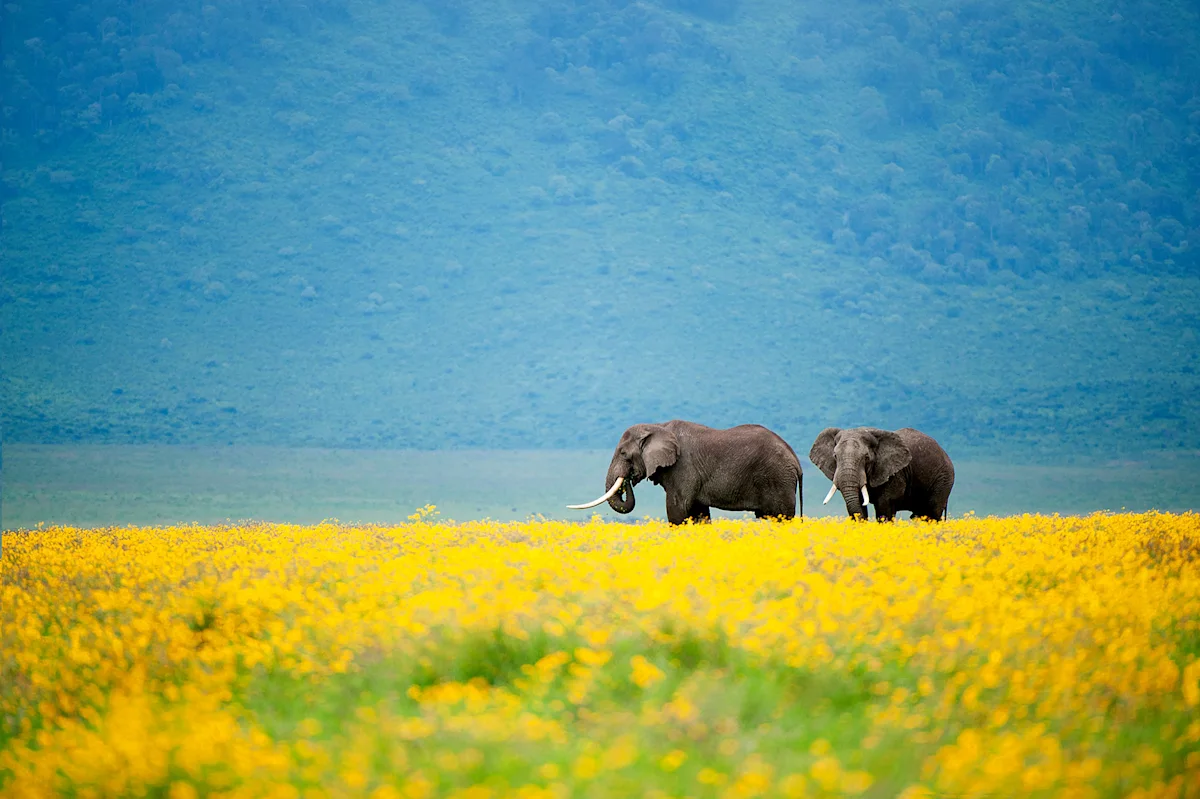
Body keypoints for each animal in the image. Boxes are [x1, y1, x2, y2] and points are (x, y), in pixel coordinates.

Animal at [568, 420, 803, 524]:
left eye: (624, 453)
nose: (629, 479)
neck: (658, 426)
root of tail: (796, 461)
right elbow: (698, 513)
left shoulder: (683, 468)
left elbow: (677, 509)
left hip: (777, 478)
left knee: (782, 517)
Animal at [808, 427, 954, 522]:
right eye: (835, 456)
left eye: (866, 458)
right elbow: (858, 504)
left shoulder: (895, 473)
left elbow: (885, 506)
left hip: (944, 478)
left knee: (932, 512)